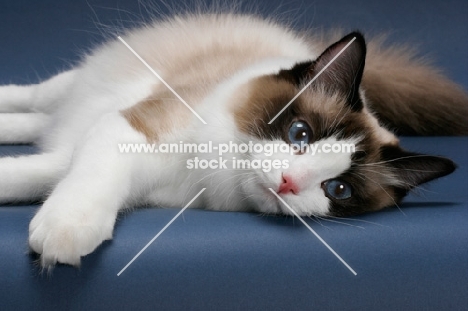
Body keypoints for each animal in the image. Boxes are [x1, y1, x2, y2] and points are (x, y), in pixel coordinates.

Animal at [0, 14, 468, 268]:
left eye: (338, 189)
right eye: (299, 134)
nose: (288, 183)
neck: (213, 171)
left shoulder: (102, 167)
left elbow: (31, 176)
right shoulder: (131, 131)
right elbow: (89, 176)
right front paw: (66, 229)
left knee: (40, 127)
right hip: (72, 88)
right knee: (36, 100)